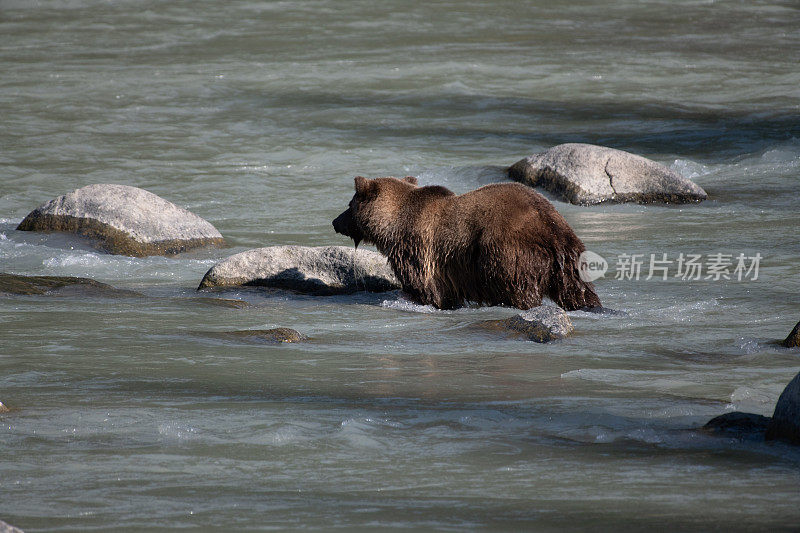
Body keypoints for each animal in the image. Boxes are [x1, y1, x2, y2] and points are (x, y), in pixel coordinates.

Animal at [332, 178, 600, 312]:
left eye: (349, 204)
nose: (335, 221)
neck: (392, 225)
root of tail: (548, 223)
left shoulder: (418, 250)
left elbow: (426, 289)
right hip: (570, 256)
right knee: (578, 290)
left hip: (507, 252)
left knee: (519, 288)